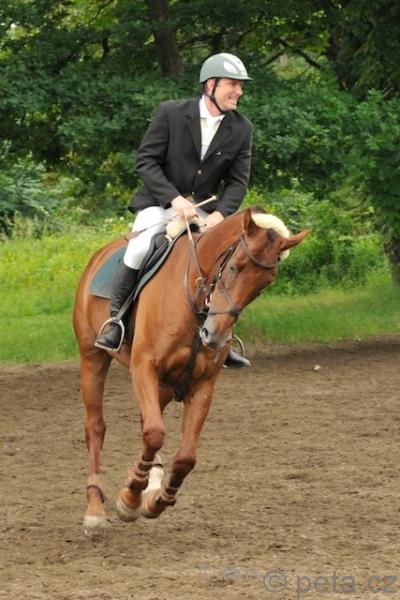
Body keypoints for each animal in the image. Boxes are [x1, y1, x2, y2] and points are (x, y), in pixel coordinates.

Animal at [73, 206, 308, 536]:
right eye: (234, 267)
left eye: (264, 284)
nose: (215, 336)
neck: (196, 301)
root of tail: (99, 255)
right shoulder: (144, 367)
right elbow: (155, 434)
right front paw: (131, 497)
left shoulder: (202, 384)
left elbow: (184, 457)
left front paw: (155, 500)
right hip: (92, 358)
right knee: (97, 427)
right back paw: (95, 510)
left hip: (166, 385)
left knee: (146, 424)